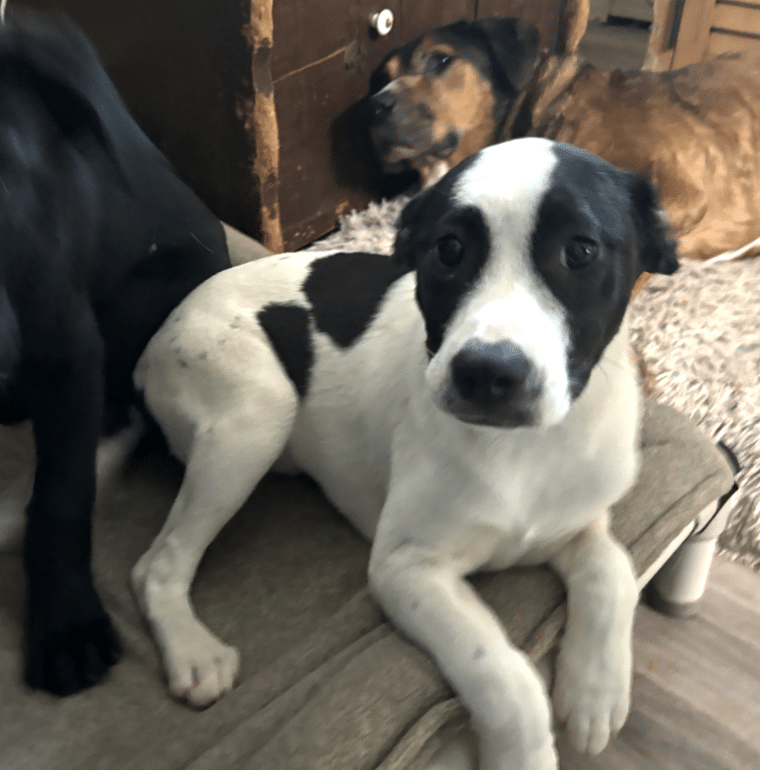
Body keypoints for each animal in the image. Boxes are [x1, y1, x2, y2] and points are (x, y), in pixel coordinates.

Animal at [131, 140, 676, 768]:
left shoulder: (579, 522)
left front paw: (593, 693)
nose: (486, 373)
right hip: (255, 412)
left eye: (581, 251)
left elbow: (615, 570)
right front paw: (525, 751)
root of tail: (153, 342)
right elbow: (503, 673)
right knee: (155, 566)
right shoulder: (405, 568)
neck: (523, 449)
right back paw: (193, 652)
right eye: (449, 249)